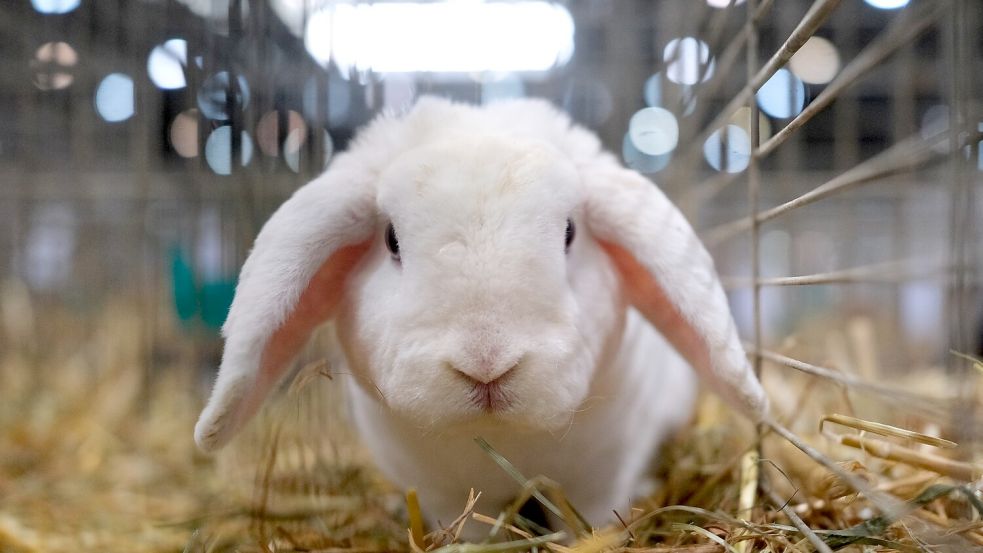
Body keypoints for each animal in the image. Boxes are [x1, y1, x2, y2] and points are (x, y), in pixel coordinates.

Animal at [194, 96, 768, 535]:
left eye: (568, 233)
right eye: (392, 241)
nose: (486, 362)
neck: (502, 437)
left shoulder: (603, 473)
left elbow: (589, 518)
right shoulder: (439, 493)